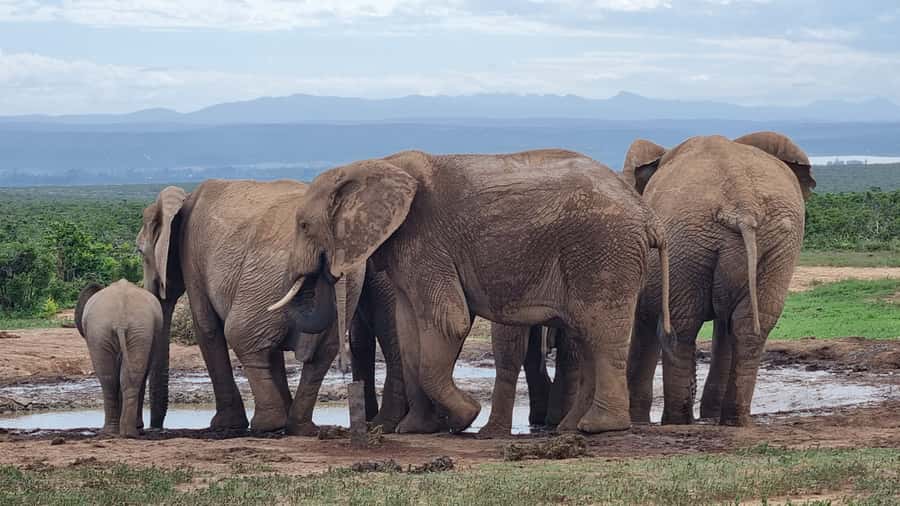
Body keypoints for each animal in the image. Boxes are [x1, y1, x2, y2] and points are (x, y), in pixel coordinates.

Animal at [74, 279, 166, 437]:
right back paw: (125, 432)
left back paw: (116, 432)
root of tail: (120, 321)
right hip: (124, 330)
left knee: (110, 378)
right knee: (119, 377)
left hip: (116, 330)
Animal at [137, 181, 407, 434]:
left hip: (267, 274)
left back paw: (268, 424)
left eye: (140, 252)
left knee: (239, 333)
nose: (154, 428)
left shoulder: (192, 257)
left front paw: (224, 424)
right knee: (322, 353)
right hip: (336, 282)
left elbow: (207, 328)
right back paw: (300, 427)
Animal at [267, 149, 672, 434]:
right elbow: (409, 331)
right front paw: (416, 430)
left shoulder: (426, 242)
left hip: (603, 249)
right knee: (584, 336)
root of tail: (648, 214)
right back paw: (570, 428)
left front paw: (464, 419)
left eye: (303, 225)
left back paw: (598, 427)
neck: (375, 165)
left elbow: (448, 321)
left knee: (600, 331)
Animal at [622, 132, 815, 427]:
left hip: (685, 238)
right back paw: (733, 419)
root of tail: (742, 203)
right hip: (774, 243)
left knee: (681, 327)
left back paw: (677, 421)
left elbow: (645, 315)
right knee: (749, 326)